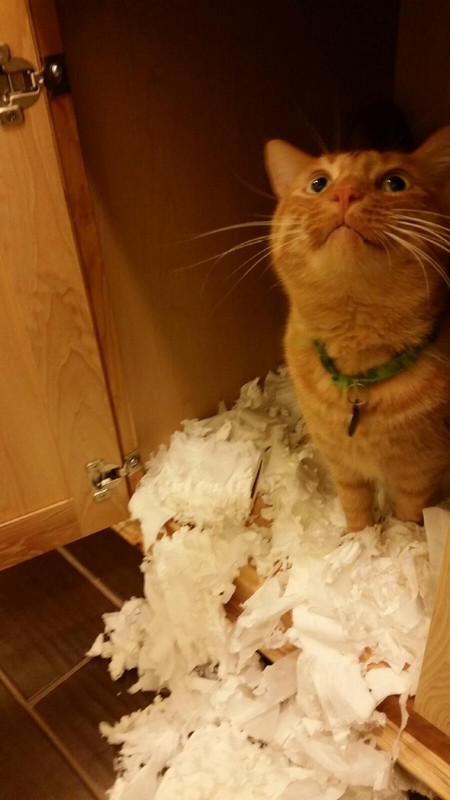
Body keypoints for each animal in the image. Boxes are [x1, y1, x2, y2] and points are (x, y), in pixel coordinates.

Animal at [264, 126, 450, 532]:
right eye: (319, 183)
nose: (345, 193)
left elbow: (409, 514)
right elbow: (356, 508)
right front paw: (357, 537)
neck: (359, 373)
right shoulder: (343, 466)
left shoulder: (419, 473)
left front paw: (400, 537)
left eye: (395, 182)